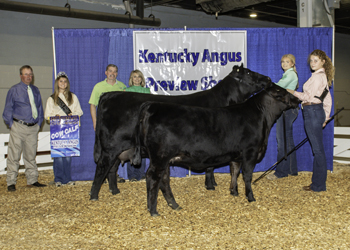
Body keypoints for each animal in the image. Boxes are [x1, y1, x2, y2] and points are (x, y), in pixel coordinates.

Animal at [89, 65, 270, 200]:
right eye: (248, 72)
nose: (268, 79)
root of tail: (108, 95)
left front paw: (212, 184)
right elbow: (210, 166)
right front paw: (210, 185)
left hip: (119, 149)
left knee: (111, 169)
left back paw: (114, 191)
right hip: (111, 147)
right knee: (101, 169)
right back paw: (94, 196)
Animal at [133, 83, 300, 216]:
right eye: (284, 92)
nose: (298, 99)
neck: (262, 117)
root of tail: (152, 105)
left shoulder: (236, 155)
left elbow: (234, 172)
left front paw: (234, 192)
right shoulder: (250, 152)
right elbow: (247, 176)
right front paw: (250, 197)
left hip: (166, 159)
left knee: (164, 179)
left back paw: (174, 205)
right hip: (160, 156)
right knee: (153, 177)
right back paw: (153, 210)